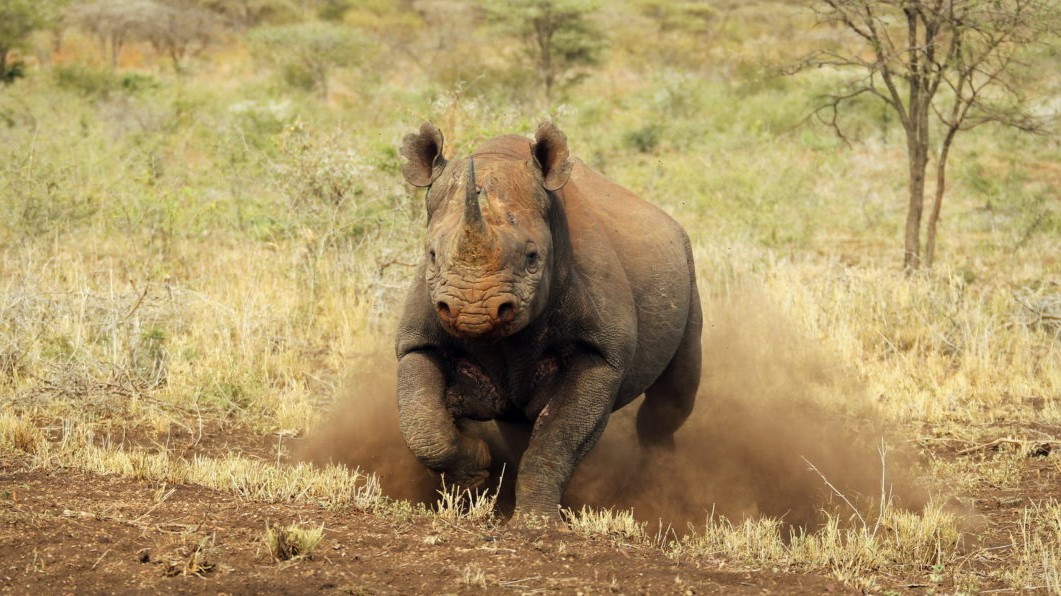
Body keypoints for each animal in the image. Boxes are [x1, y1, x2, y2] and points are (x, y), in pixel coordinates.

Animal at [396, 122, 702, 519]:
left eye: (532, 257)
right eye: (431, 255)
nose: (474, 312)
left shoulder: (602, 354)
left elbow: (558, 439)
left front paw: (536, 521)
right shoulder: (419, 339)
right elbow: (422, 423)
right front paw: (476, 469)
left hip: (688, 266)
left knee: (672, 396)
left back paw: (660, 484)